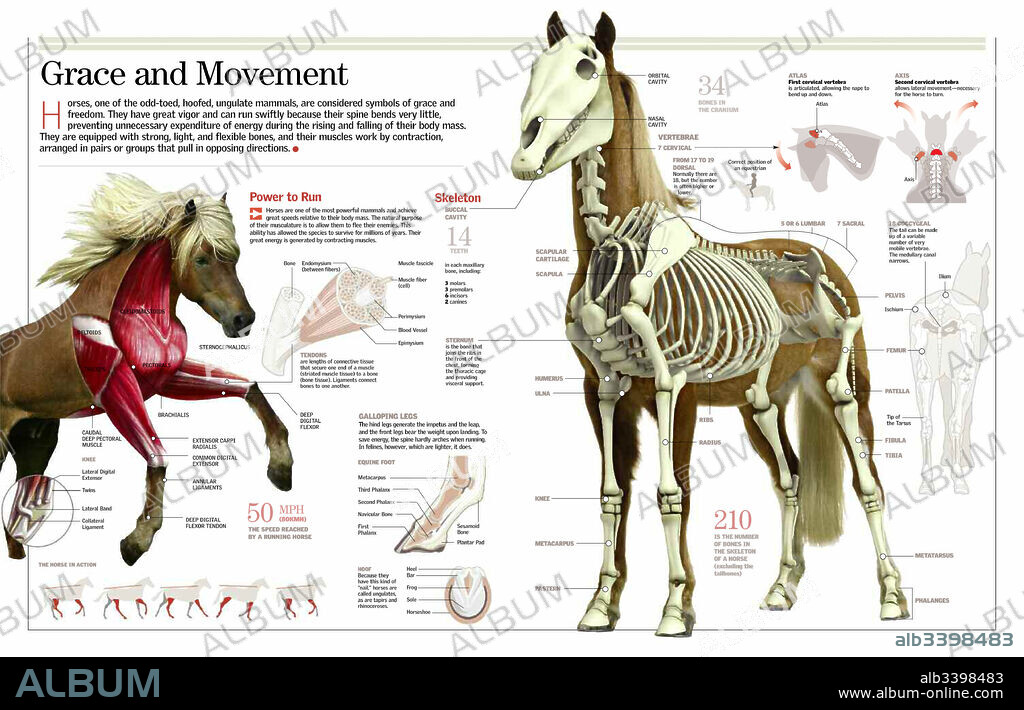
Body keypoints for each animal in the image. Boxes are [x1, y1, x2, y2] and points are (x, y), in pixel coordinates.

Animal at [0, 175, 293, 565]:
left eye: (234, 256)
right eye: (201, 258)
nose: (242, 320)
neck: (130, 312)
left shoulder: (165, 378)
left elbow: (248, 387)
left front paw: (281, 467)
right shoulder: (115, 391)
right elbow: (157, 456)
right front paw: (136, 540)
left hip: (35, 443)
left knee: (20, 504)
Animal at [511, 12, 910, 635]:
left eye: (585, 66)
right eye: (533, 68)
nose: (524, 155)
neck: (612, 247)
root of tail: (817, 253)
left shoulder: (676, 386)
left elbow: (674, 492)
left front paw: (676, 608)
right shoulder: (602, 388)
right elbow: (610, 493)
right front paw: (600, 606)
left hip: (843, 380)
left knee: (867, 477)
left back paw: (892, 598)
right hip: (760, 398)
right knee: (789, 474)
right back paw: (781, 588)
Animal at [909, 242, 990, 494]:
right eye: (988, 273)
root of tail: (942, 313)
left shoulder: (943, 378)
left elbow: (945, 411)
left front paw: (945, 458)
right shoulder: (970, 376)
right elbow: (963, 413)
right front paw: (963, 459)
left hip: (923, 378)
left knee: (926, 422)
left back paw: (926, 480)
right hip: (962, 376)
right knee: (956, 420)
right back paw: (959, 478)